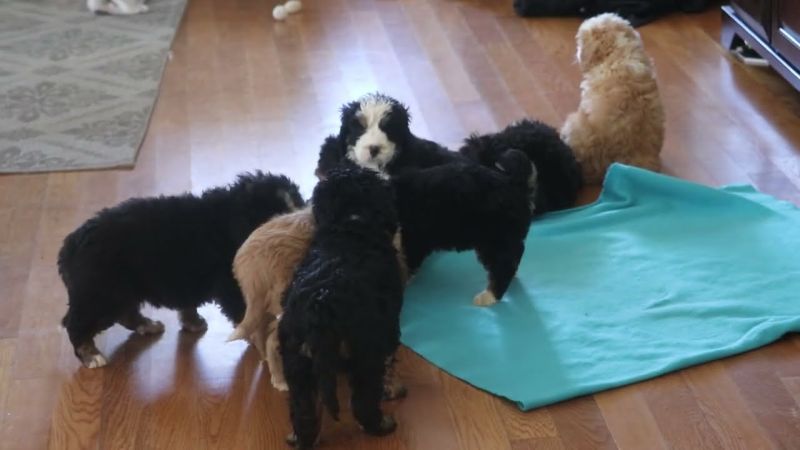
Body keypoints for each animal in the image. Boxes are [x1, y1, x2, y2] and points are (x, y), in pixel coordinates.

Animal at [58, 172, 304, 370]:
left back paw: (148, 325)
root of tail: (72, 245)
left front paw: (193, 323)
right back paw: (92, 356)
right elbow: (248, 315)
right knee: (76, 324)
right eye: (277, 219)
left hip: (120, 290)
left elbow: (189, 305)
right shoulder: (231, 285)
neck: (229, 220)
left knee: (125, 313)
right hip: (102, 293)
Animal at [280, 166, 404, 450]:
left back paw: (301, 438)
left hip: (294, 355)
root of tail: (321, 303)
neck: (352, 220)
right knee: (363, 400)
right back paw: (382, 426)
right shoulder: (388, 326)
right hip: (365, 348)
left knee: (304, 409)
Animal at [396, 149, 536, 308]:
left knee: (504, 265)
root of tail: (514, 184)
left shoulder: (413, 238)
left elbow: (407, 262)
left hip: (494, 238)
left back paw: (489, 296)